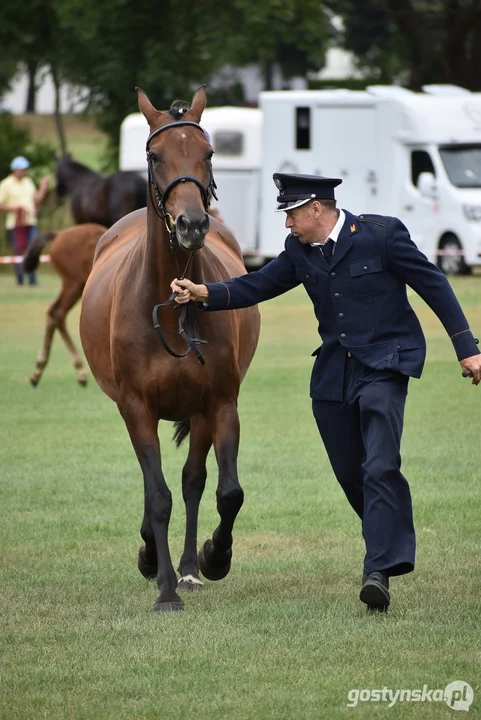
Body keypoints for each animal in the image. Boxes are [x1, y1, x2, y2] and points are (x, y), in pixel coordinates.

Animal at [23, 222, 106, 386]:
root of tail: (59, 233)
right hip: (74, 283)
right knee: (58, 313)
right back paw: (80, 370)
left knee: (52, 312)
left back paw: (38, 370)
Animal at [79, 86, 258, 612]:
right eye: (155, 156)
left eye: (209, 153)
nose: (192, 224)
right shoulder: (136, 406)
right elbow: (156, 496)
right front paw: (162, 589)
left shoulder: (219, 403)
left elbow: (227, 492)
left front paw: (214, 558)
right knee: (154, 485)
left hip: (197, 415)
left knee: (193, 481)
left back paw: (189, 568)